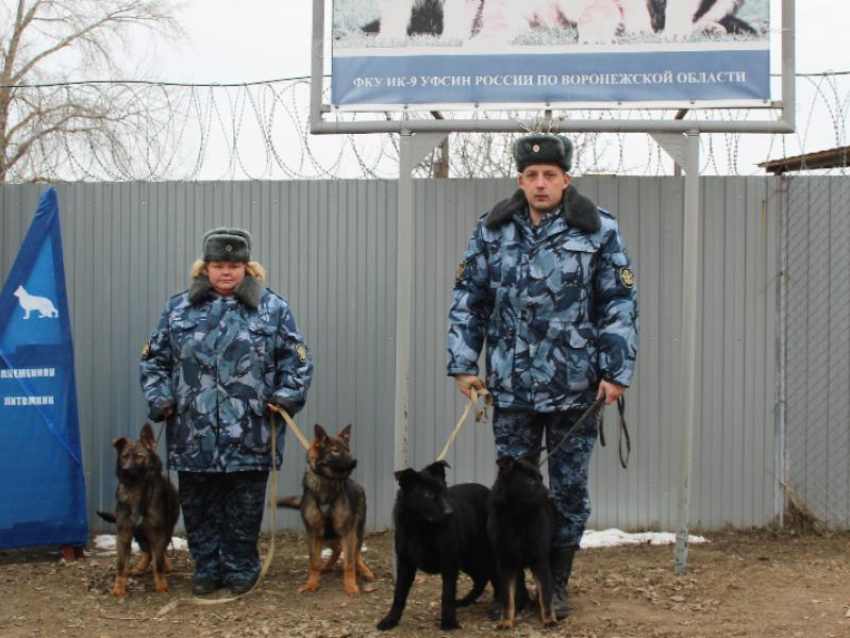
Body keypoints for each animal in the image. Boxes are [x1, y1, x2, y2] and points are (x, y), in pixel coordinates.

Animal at [96, 424, 179, 600]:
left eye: (139, 456)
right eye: (124, 456)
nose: (125, 470)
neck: (137, 489)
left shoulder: (157, 533)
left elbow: (158, 564)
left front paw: (161, 586)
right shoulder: (124, 536)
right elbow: (121, 566)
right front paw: (118, 588)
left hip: (165, 530)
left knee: (160, 551)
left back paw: (166, 564)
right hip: (140, 536)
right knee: (148, 552)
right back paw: (141, 567)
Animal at [276, 428, 372, 596]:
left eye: (347, 450)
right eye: (335, 451)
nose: (354, 461)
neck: (328, 483)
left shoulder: (346, 531)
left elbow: (349, 562)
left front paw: (350, 585)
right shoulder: (314, 532)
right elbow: (314, 562)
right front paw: (312, 584)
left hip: (355, 532)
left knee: (355, 553)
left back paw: (364, 570)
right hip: (327, 534)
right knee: (339, 548)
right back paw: (327, 566)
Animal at [374, 462, 494, 632]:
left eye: (443, 491)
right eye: (428, 495)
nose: (450, 513)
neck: (421, 528)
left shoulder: (449, 564)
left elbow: (447, 595)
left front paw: (448, 622)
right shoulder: (405, 564)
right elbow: (399, 595)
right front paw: (391, 619)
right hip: (469, 559)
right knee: (482, 577)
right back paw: (466, 600)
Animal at [484, 458, 556, 632]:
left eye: (541, 479)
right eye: (530, 480)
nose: (553, 497)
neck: (519, 518)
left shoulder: (540, 561)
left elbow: (546, 594)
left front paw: (549, 619)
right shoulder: (505, 564)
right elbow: (507, 597)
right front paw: (506, 621)